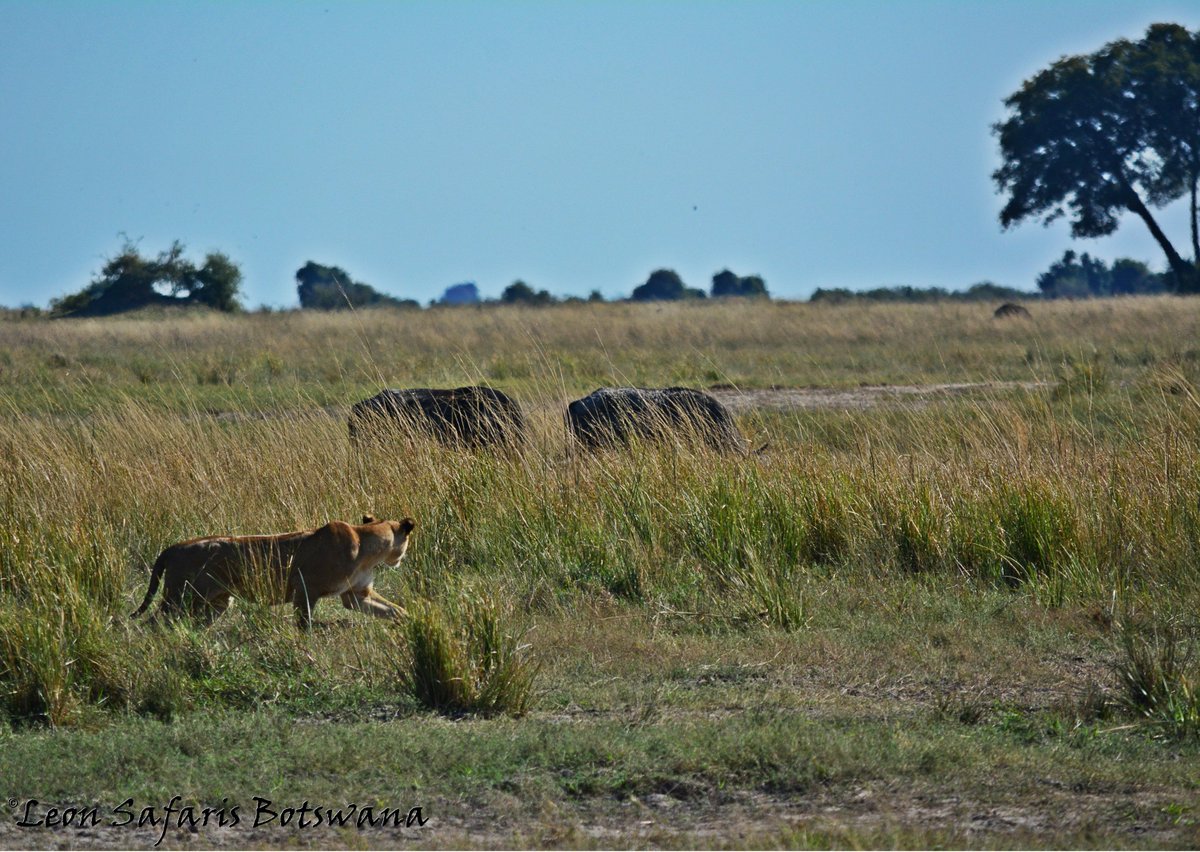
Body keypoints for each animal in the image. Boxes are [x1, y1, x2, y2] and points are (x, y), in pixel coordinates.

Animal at [130, 515, 416, 629]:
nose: (400, 560)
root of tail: (173, 547)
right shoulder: (305, 587)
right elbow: (304, 622)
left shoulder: (357, 595)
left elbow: (392, 609)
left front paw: (407, 621)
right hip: (179, 598)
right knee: (153, 623)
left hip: (216, 602)